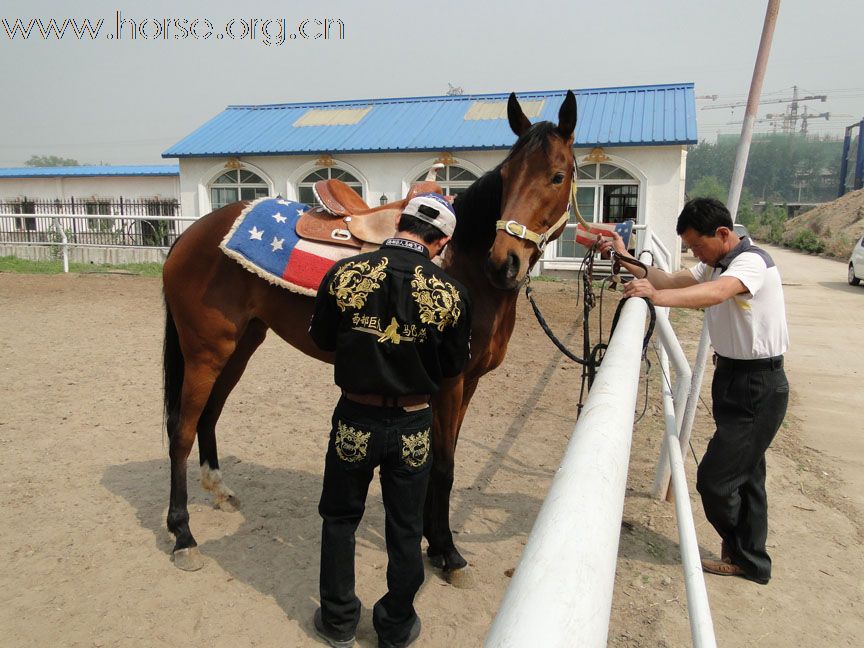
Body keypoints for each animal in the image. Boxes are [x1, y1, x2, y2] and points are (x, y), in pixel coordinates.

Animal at [162, 90, 580, 572]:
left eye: (557, 176)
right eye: (507, 176)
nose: (504, 262)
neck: (465, 265)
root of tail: (192, 234)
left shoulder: (467, 383)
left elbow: (440, 458)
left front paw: (429, 539)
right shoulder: (451, 383)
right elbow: (444, 465)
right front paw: (445, 549)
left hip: (239, 346)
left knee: (209, 414)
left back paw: (219, 491)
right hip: (206, 351)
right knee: (181, 430)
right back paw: (182, 534)